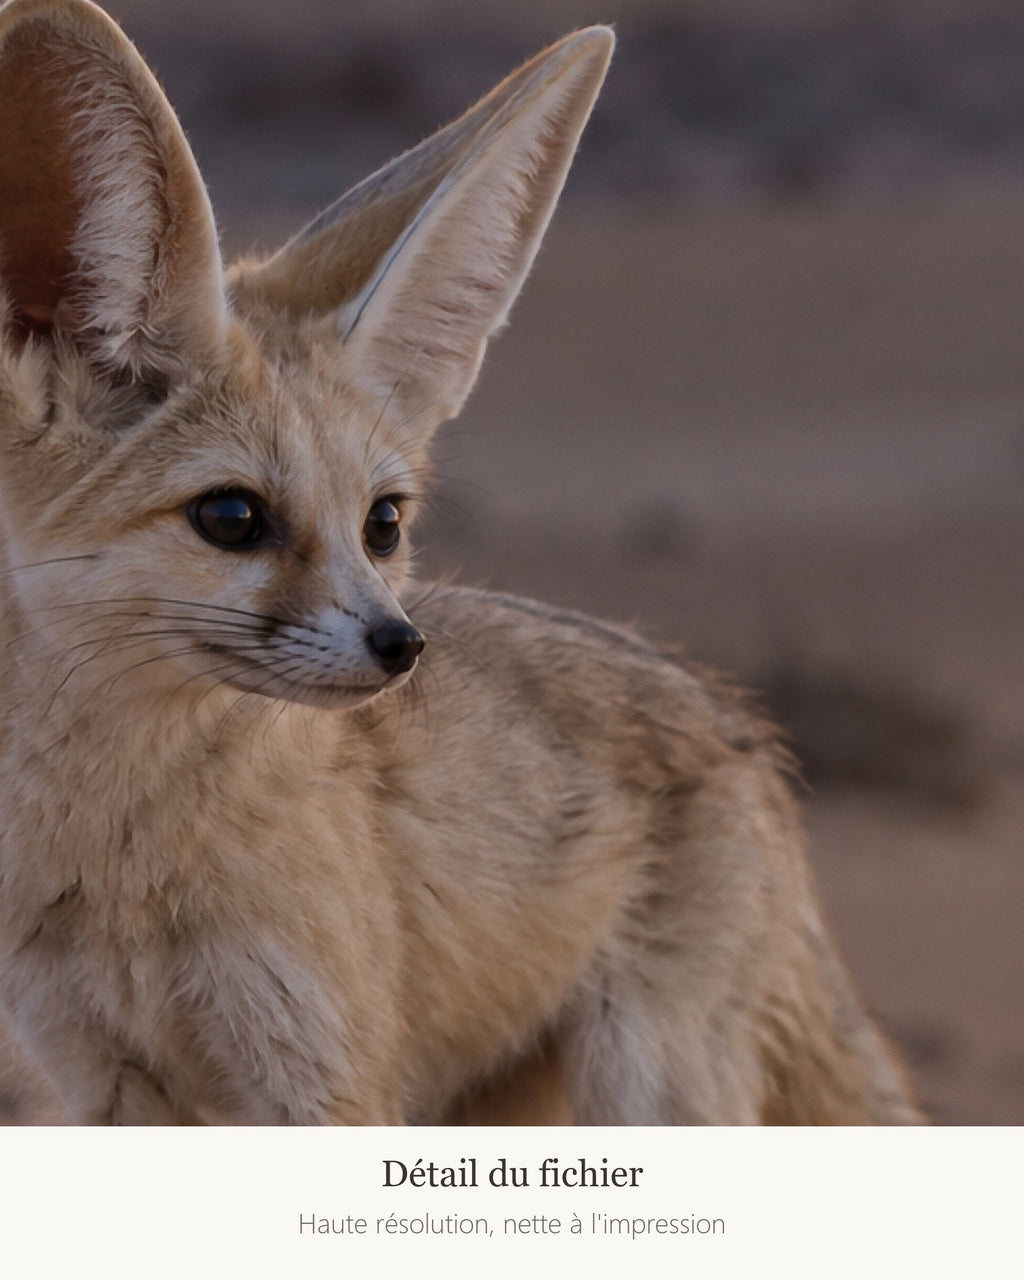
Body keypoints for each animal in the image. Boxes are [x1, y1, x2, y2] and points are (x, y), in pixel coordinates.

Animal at [0, 0, 921, 1126]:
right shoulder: (98, 1080)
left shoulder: (321, 1079)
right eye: (231, 516)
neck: (121, 861)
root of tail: (739, 727)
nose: (402, 645)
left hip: (646, 1087)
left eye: (382, 523)